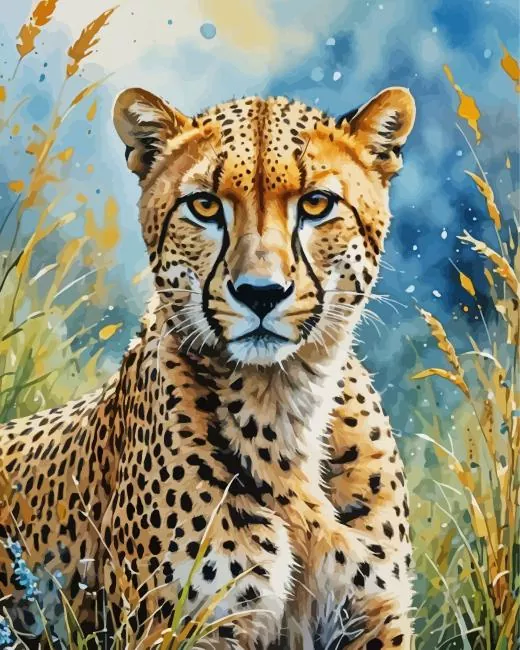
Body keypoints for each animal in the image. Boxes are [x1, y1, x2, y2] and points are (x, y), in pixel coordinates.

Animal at [0, 85, 416, 650]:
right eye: (204, 205)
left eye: (316, 204)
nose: (260, 292)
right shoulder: (181, 628)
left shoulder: (374, 616)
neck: (282, 400)